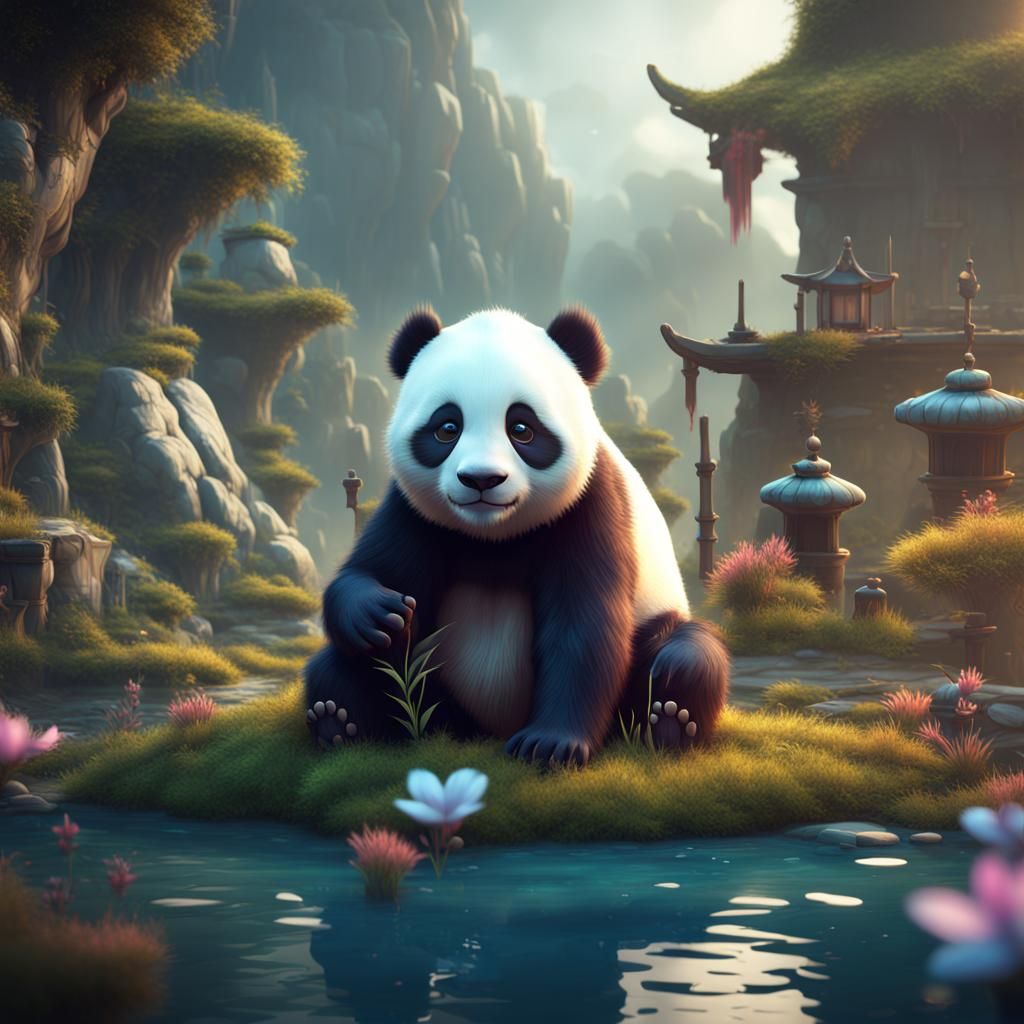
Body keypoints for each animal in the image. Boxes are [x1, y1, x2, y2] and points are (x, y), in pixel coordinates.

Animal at [305, 306, 730, 766]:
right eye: (447, 427)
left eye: (521, 428)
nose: (481, 479)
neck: (493, 536)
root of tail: (484, 730)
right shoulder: (412, 510)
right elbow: (370, 569)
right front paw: (378, 613)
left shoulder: (591, 505)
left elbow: (584, 625)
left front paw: (550, 744)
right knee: (339, 668)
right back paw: (336, 720)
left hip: (654, 623)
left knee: (685, 655)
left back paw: (669, 720)